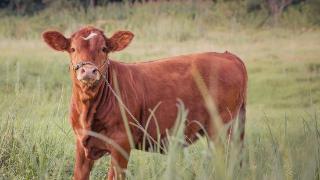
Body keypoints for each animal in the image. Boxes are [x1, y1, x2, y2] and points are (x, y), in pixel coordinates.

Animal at [42, 26, 248, 180]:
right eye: (72, 49)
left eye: (104, 49)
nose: (88, 71)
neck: (89, 110)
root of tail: (227, 55)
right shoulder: (81, 143)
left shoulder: (121, 144)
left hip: (221, 129)